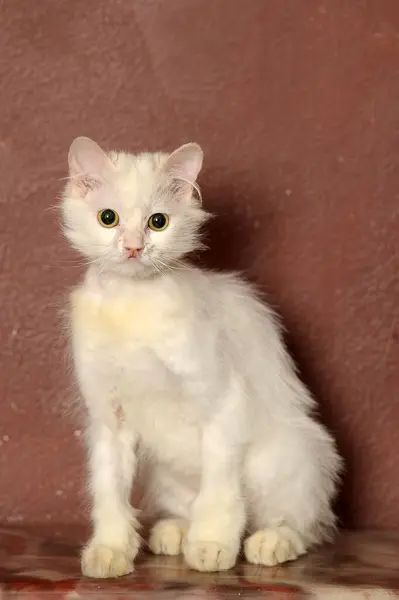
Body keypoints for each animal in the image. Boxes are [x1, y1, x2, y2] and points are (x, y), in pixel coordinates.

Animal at [61, 136, 342, 576]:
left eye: (158, 222)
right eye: (108, 218)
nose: (134, 248)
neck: (132, 304)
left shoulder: (223, 403)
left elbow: (220, 490)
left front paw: (211, 545)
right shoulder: (108, 420)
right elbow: (109, 493)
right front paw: (110, 551)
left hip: (287, 456)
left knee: (303, 524)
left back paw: (269, 543)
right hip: (167, 473)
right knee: (187, 507)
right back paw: (173, 532)